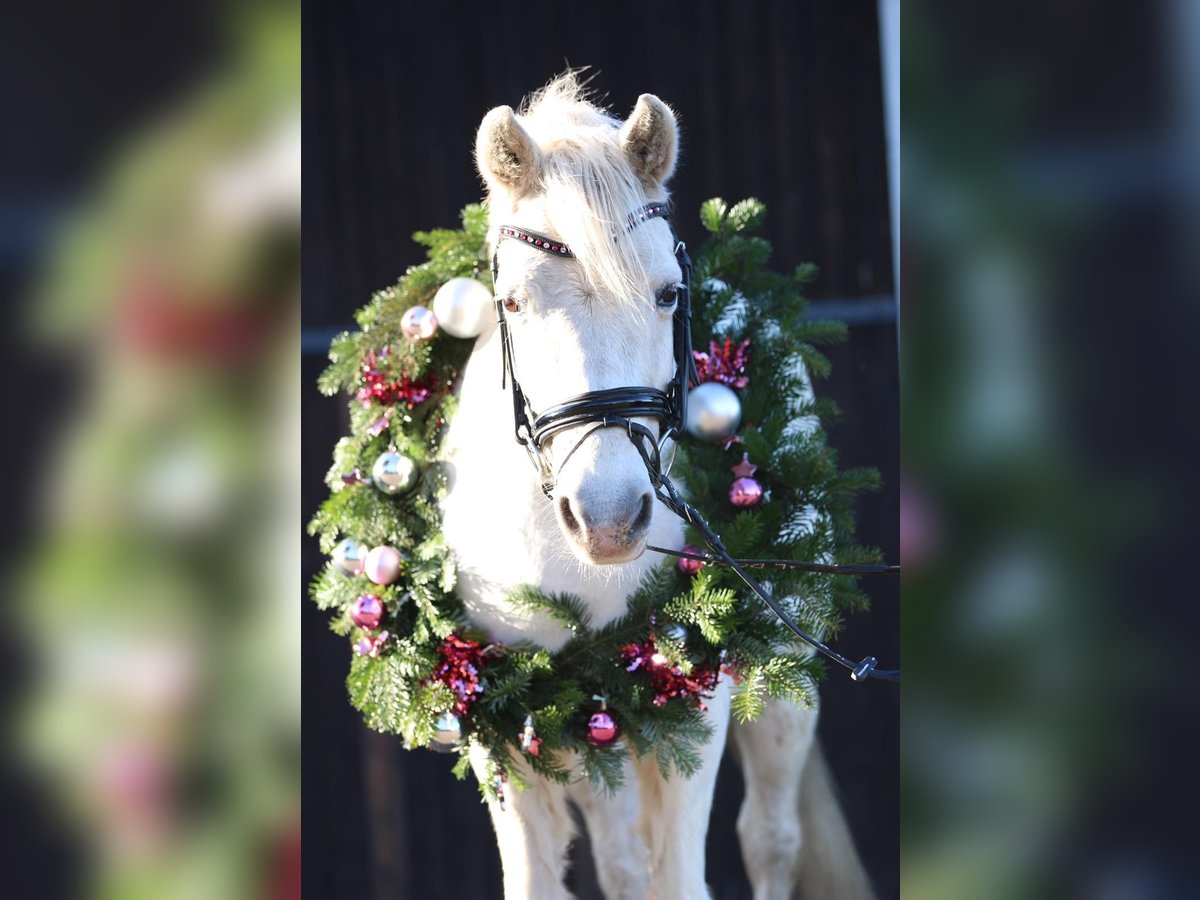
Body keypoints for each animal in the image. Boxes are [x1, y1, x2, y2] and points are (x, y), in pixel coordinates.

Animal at [441, 75, 873, 900]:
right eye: (511, 302)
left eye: (669, 294)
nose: (608, 518)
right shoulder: (497, 719)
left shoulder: (696, 703)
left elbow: (682, 877)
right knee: (622, 857)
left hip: (782, 673)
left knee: (770, 836)